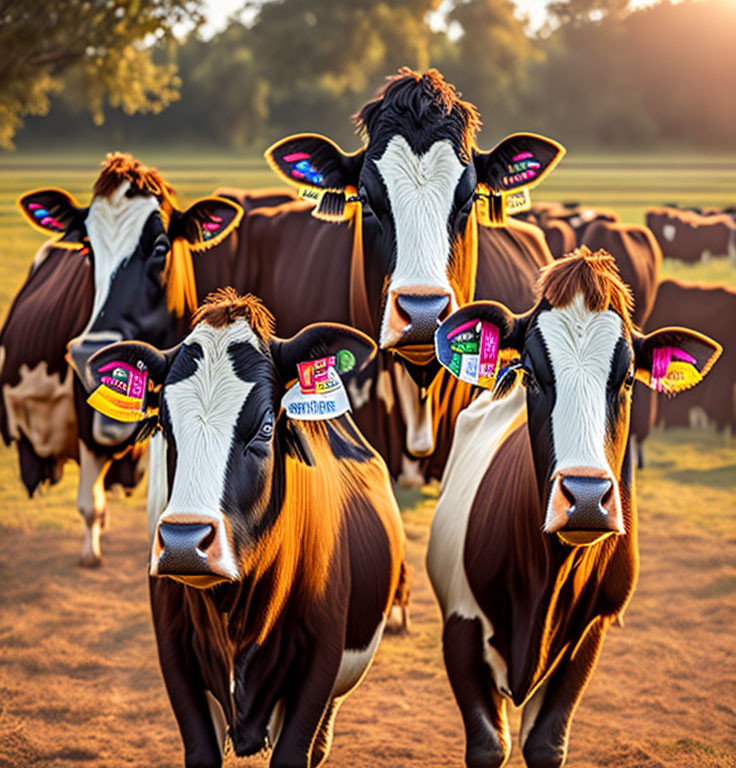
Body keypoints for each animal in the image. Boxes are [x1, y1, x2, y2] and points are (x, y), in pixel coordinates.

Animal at [426, 248, 720, 768]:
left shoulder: (590, 633)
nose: (585, 498)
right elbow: (487, 746)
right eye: (531, 373)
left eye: (627, 379)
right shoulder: (458, 625)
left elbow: (546, 745)